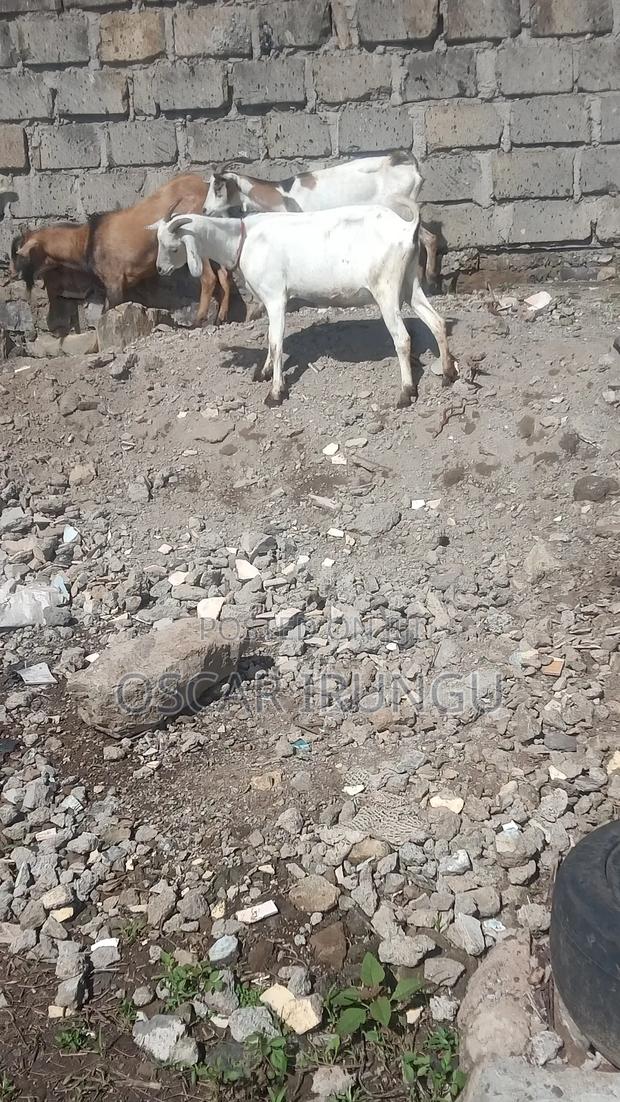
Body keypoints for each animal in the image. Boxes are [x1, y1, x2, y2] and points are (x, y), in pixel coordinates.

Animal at [10, 174, 233, 326]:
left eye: (23, 255)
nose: (17, 275)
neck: (87, 239)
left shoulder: (114, 281)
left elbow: (108, 310)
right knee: (224, 275)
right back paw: (221, 317)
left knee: (209, 278)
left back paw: (199, 320)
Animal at [152, 206, 457, 408]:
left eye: (173, 247)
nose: (160, 270)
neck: (243, 239)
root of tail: (407, 228)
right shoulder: (269, 300)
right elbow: (270, 338)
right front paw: (263, 372)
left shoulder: (276, 296)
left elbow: (276, 342)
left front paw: (275, 393)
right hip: (409, 283)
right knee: (437, 321)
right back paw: (448, 374)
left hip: (386, 288)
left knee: (402, 338)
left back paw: (406, 393)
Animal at [204, 153, 440, 287]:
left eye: (218, 187)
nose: (205, 209)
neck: (284, 193)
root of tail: (410, 165)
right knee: (428, 238)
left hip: (400, 208)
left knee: (427, 237)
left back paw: (430, 278)